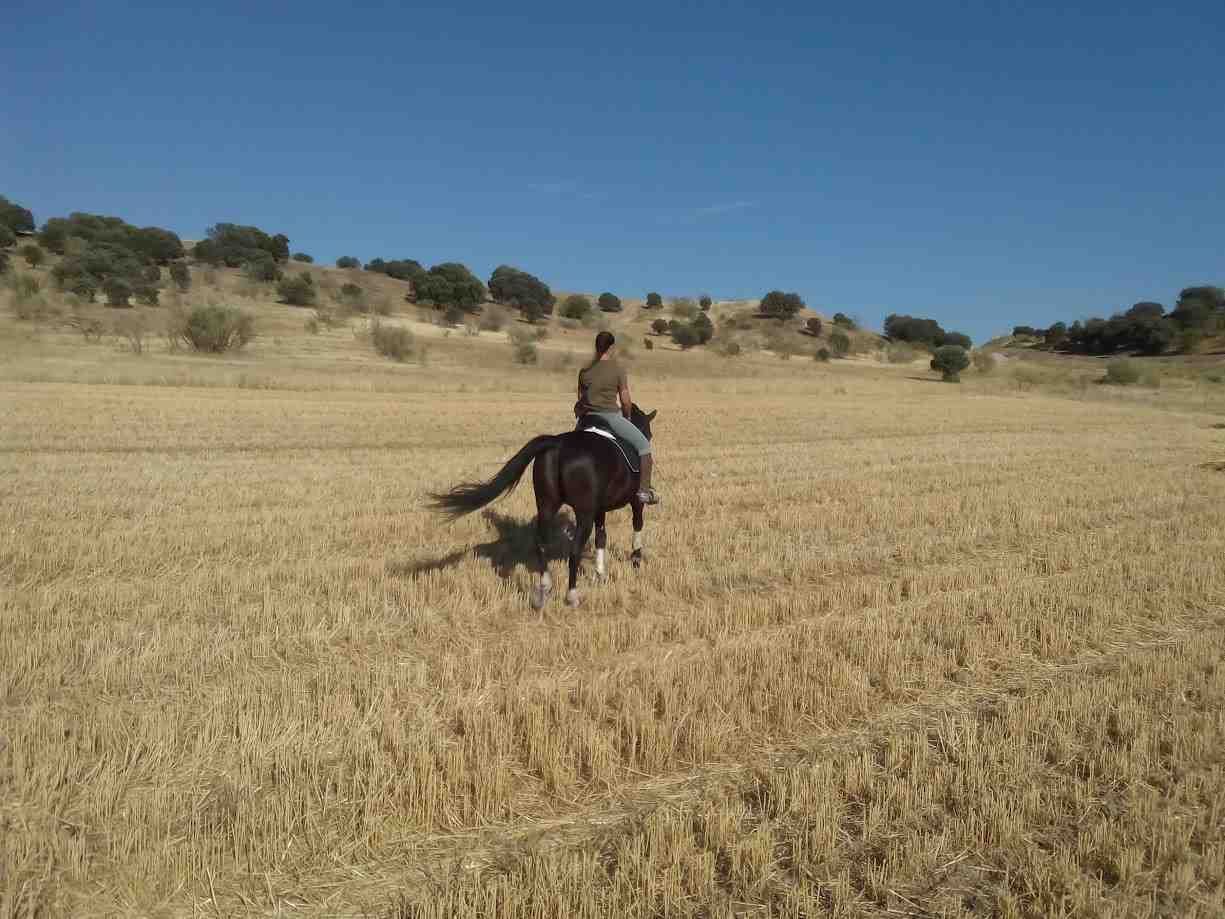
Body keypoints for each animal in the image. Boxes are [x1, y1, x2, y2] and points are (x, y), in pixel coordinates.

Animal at [429, 405, 657, 608]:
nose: (648, 437)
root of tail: (557, 443)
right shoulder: (634, 502)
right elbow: (637, 525)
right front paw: (636, 560)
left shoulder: (599, 509)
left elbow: (601, 537)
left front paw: (601, 574)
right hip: (583, 513)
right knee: (574, 551)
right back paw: (571, 596)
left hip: (547, 505)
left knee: (541, 544)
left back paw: (544, 590)